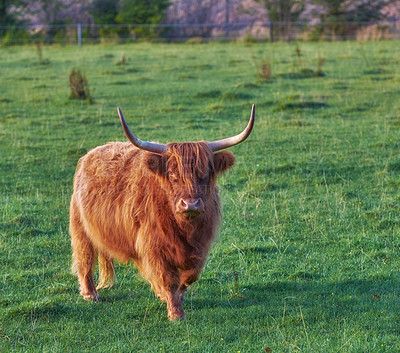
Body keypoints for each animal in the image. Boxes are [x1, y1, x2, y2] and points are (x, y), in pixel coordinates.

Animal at [70, 104, 255, 320]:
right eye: (173, 175)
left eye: (204, 174)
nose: (190, 204)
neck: (185, 230)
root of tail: (92, 153)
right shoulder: (155, 246)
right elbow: (168, 279)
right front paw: (176, 313)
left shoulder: (201, 245)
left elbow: (189, 276)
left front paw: (176, 296)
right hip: (81, 228)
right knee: (84, 259)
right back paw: (90, 294)